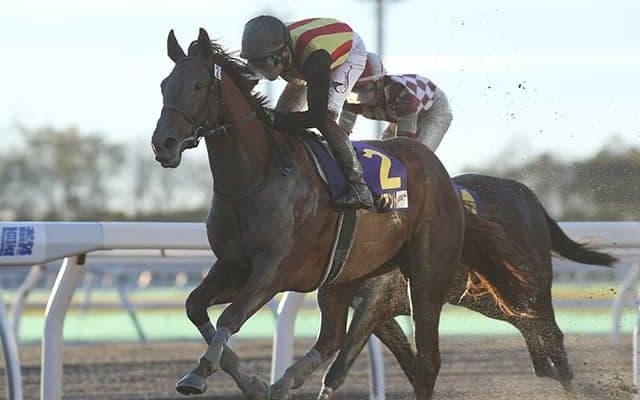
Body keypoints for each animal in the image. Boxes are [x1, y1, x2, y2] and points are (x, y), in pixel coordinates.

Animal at [151, 28, 532, 400]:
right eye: (164, 84)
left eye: (199, 85)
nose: (163, 144)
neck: (256, 179)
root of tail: (445, 179)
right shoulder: (233, 265)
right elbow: (195, 306)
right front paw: (248, 382)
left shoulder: (274, 269)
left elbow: (230, 317)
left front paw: (204, 374)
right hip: (344, 274)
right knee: (333, 337)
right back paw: (284, 382)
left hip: (426, 276)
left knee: (426, 362)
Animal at [317, 173, 618, 400]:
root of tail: (529, 196)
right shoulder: (375, 311)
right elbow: (408, 361)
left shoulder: (376, 298)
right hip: (491, 297)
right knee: (530, 329)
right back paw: (546, 372)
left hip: (532, 284)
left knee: (553, 336)